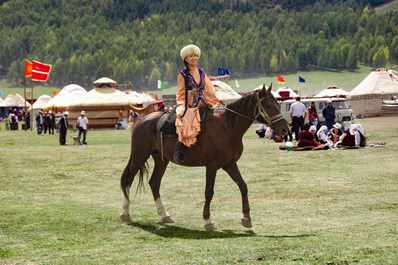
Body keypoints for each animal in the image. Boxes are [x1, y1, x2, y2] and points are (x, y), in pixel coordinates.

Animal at [119, 84, 288, 229]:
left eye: (278, 104)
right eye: (268, 106)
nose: (285, 129)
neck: (227, 128)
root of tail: (142, 120)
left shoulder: (230, 164)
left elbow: (243, 186)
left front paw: (246, 218)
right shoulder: (211, 166)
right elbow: (209, 191)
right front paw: (208, 220)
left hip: (161, 160)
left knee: (154, 183)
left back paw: (165, 215)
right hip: (140, 155)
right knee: (128, 179)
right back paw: (126, 213)